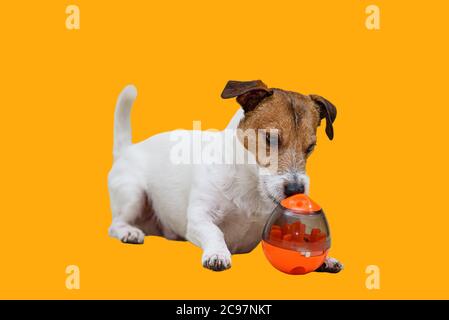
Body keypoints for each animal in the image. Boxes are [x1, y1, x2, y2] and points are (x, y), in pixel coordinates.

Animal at [108, 80, 344, 272]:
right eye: (271, 139)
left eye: (310, 147)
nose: (296, 190)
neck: (251, 184)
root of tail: (127, 149)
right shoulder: (198, 218)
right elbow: (215, 232)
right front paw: (217, 253)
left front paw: (323, 258)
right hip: (133, 195)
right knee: (116, 223)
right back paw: (129, 232)